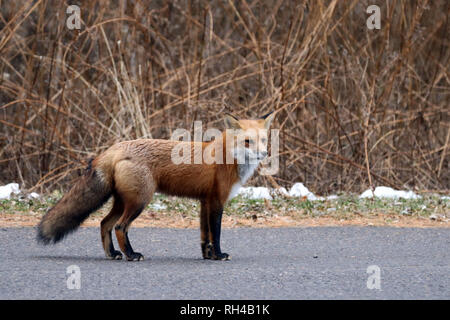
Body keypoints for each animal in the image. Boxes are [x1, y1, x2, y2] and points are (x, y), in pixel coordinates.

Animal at [37, 112, 274, 260]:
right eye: (247, 142)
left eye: (263, 140)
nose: (263, 154)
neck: (228, 158)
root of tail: (114, 148)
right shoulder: (216, 201)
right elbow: (215, 234)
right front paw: (219, 255)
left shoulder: (204, 201)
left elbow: (204, 235)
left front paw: (208, 256)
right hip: (139, 201)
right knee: (120, 227)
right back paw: (131, 255)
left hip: (123, 202)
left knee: (104, 224)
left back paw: (113, 254)